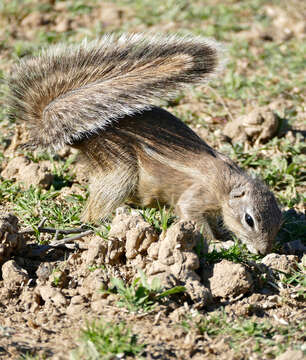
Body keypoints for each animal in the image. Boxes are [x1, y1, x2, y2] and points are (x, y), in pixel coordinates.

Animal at [7, 33, 280, 253]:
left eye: (279, 223)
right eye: (249, 220)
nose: (263, 252)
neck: (227, 184)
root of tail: (83, 134)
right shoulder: (196, 197)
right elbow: (192, 217)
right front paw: (217, 243)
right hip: (120, 171)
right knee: (92, 214)